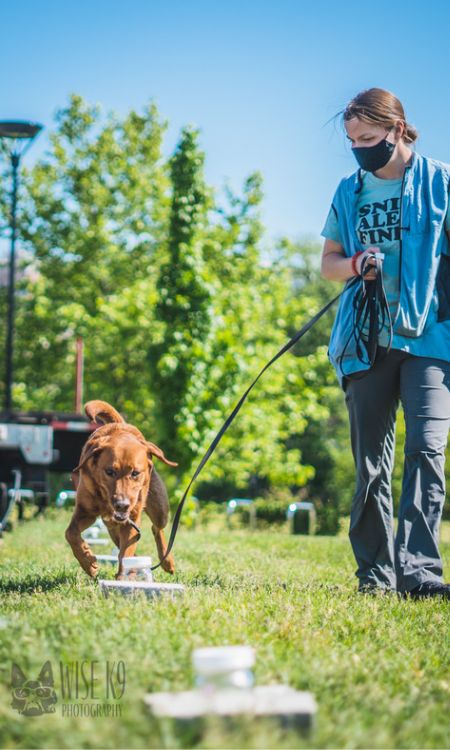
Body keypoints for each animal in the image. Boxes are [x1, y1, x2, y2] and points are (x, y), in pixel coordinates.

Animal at [65, 402, 178, 580]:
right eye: (109, 471)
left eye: (135, 473)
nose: (122, 505)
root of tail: (120, 424)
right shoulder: (85, 511)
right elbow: (70, 533)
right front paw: (88, 562)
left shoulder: (131, 519)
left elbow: (126, 553)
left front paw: (122, 579)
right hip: (112, 527)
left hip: (160, 510)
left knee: (156, 528)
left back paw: (167, 562)